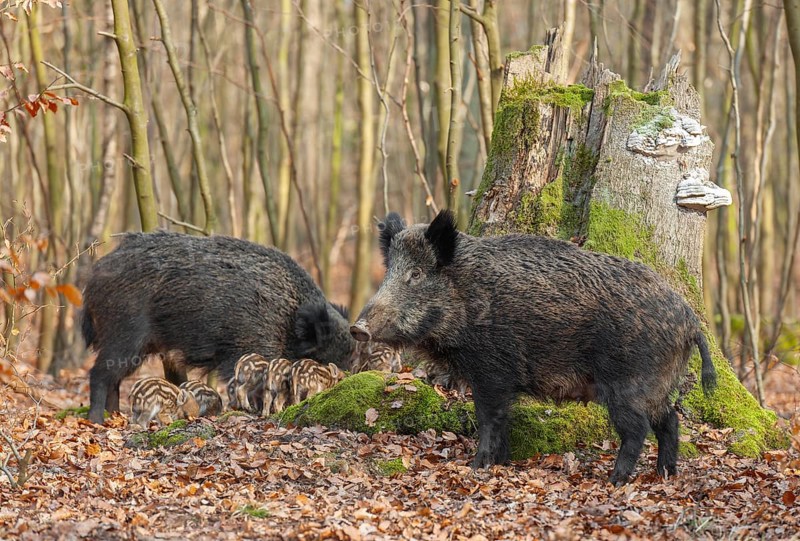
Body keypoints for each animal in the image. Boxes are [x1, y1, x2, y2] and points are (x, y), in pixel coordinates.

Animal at [81, 231, 355, 425]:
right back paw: (97, 420)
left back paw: (115, 416)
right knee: (99, 374)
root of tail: (94, 275)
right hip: (124, 332)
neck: (287, 321)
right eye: (333, 357)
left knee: (114, 379)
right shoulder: (250, 346)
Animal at [351, 210, 717, 485]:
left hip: (629, 383)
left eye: (415, 274)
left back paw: (615, 480)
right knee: (669, 420)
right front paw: (499, 463)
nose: (358, 328)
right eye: (389, 272)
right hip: (656, 385)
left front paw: (477, 466)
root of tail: (690, 321)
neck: (468, 298)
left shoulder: (492, 371)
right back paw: (666, 474)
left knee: (639, 428)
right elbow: (501, 420)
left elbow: (489, 418)